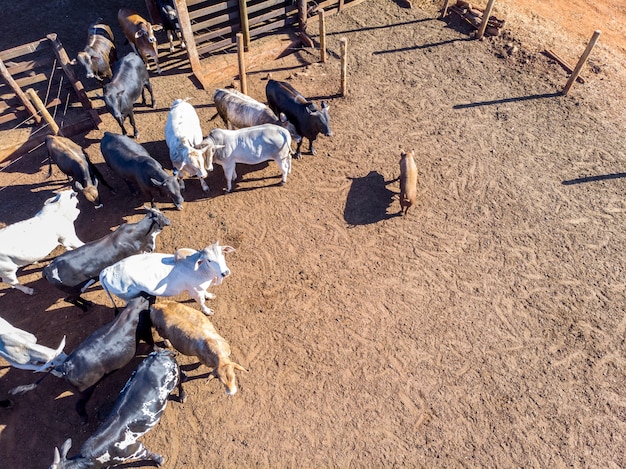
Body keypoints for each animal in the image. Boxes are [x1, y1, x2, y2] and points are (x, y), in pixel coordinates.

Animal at [49, 350, 182, 466]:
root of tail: (158, 354)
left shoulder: (135, 449)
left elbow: (148, 453)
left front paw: (160, 460)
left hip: (175, 376)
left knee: (181, 380)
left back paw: (182, 396)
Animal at [101, 241, 235, 314]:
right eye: (209, 260)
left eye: (222, 254)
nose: (225, 272)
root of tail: (108, 270)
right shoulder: (195, 291)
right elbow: (201, 302)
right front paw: (207, 311)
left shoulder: (201, 288)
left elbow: (206, 293)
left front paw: (210, 295)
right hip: (128, 297)